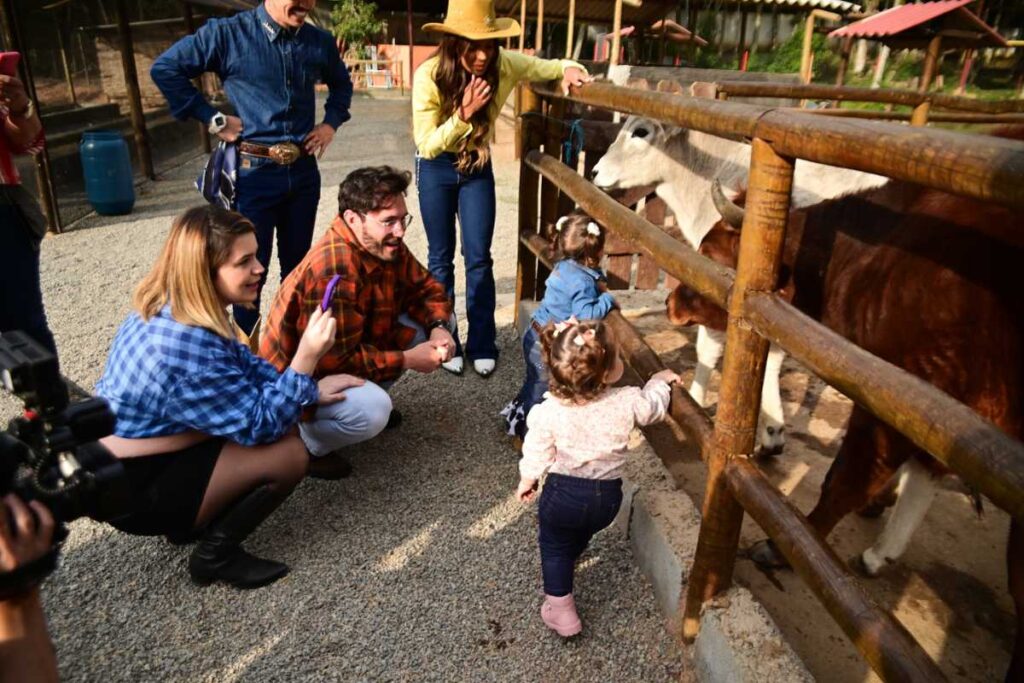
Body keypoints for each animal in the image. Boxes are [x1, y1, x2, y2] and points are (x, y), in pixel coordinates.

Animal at [663, 153, 1024, 679]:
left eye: (712, 250)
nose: (668, 302)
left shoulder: (900, 399)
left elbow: (846, 478)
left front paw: (783, 546)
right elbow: (915, 473)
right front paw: (878, 540)